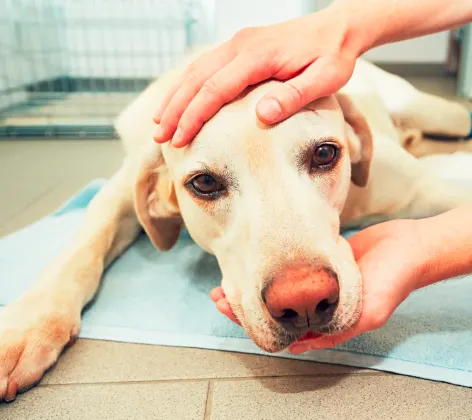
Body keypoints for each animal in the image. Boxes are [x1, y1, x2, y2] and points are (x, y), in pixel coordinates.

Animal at [0, 54, 472, 402]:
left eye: (325, 153)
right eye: (204, 183)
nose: (304, 301)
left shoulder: (427, 187)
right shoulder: (122, 186)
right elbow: (84, 243)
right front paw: (27, 327)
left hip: (432, 111)